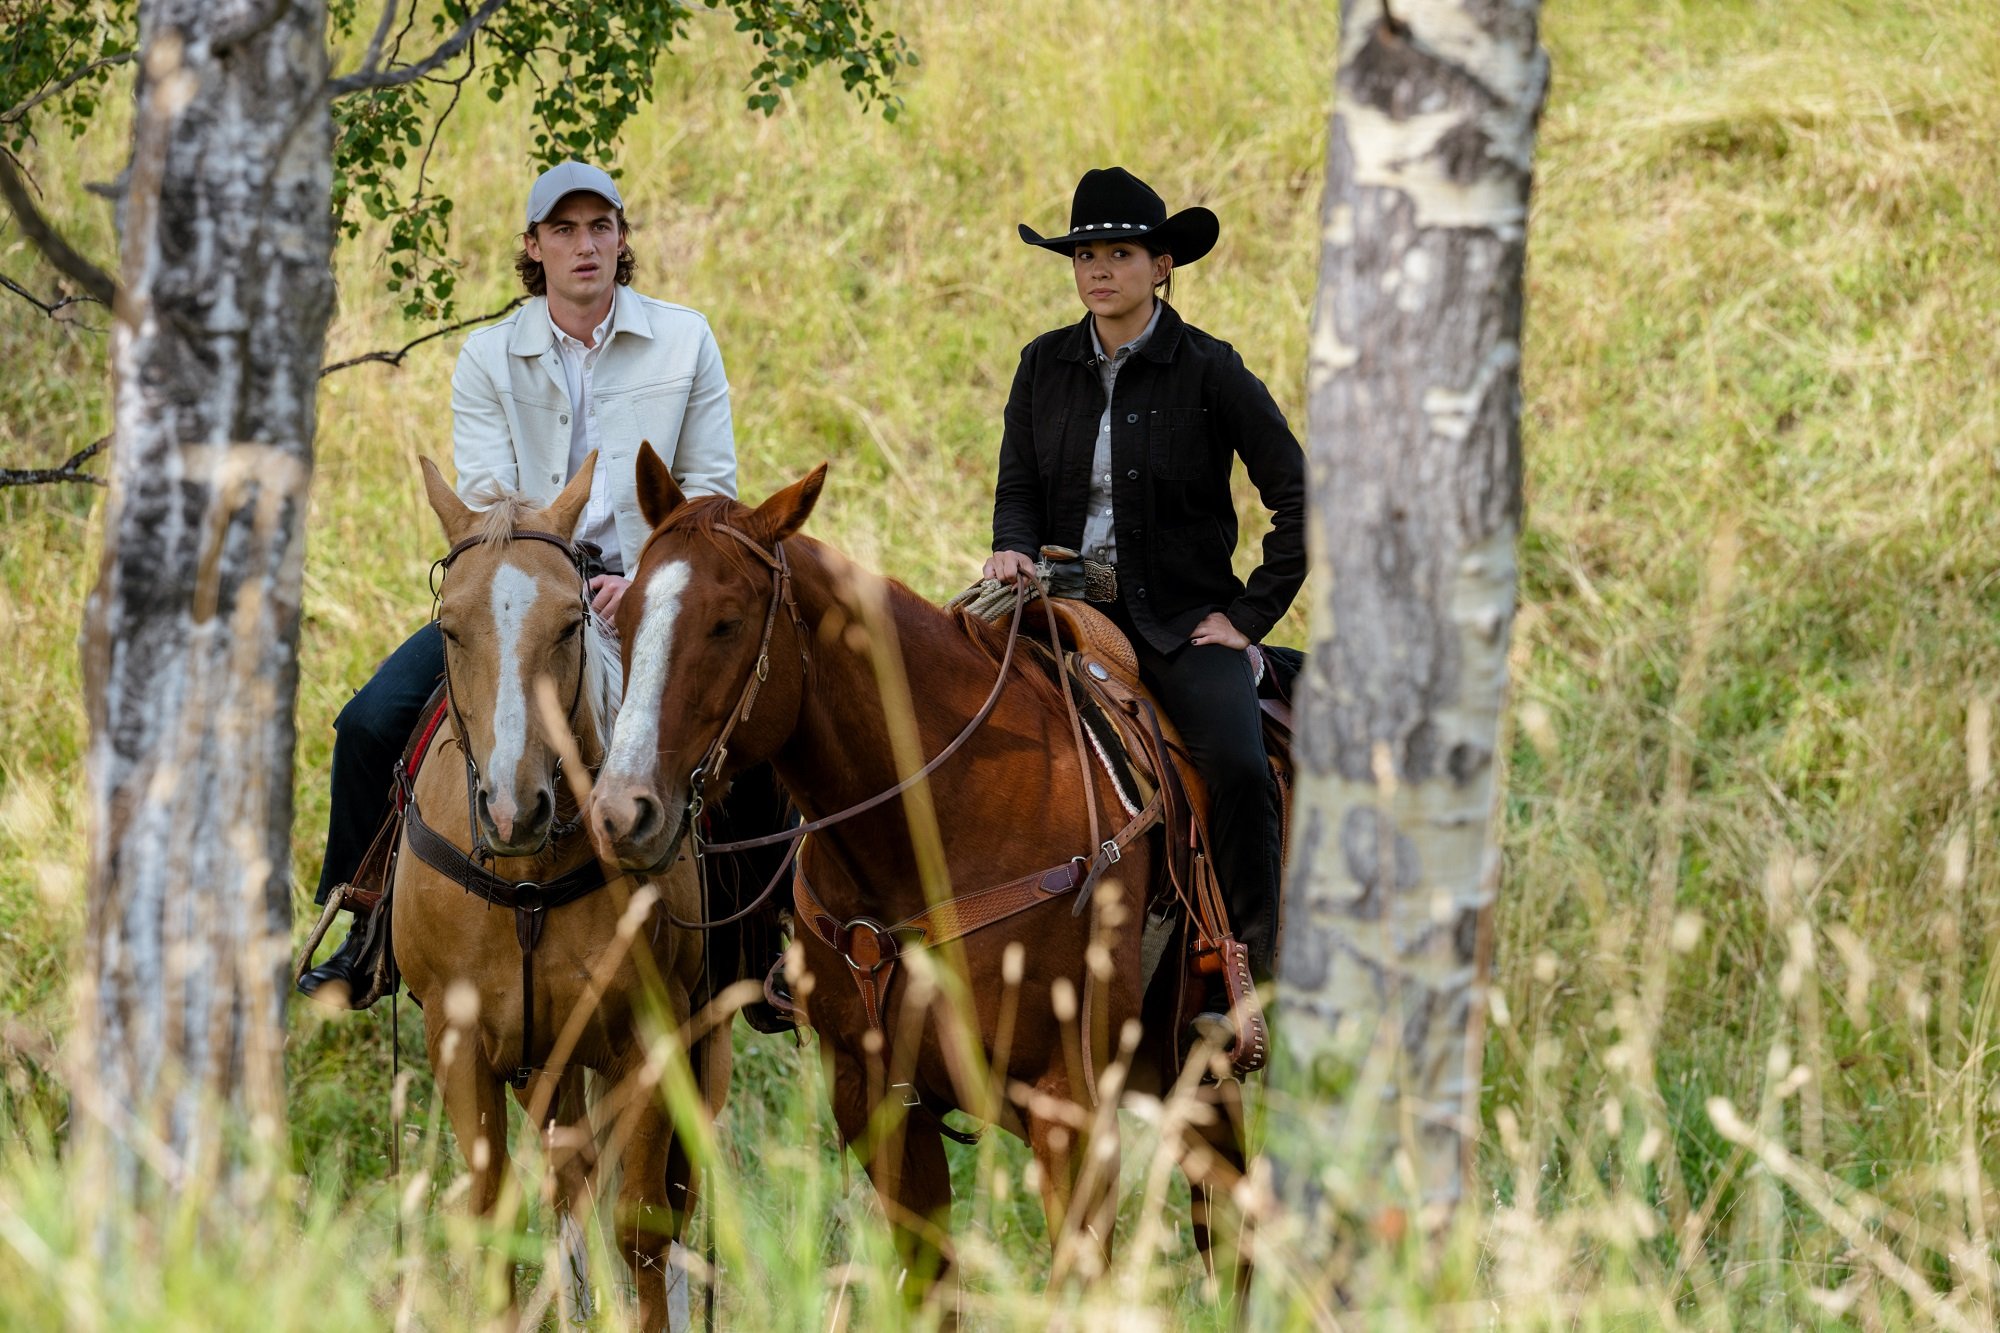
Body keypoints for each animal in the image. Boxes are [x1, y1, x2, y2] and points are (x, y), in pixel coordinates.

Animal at [394, 454, 732, 1320]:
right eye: (451, 629)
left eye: (570, 624)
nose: (515, 808)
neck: (527, 883)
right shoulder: (462, 1042)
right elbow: (494, 1225)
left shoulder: (650, 1035)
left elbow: (644, 1226)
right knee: (567, 1183)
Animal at [588, 446, 1248, 1296]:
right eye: (626, 615)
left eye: (726, 623)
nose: (621, 811)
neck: (937, 826)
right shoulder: (879, 1104)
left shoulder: (1070, 1109)